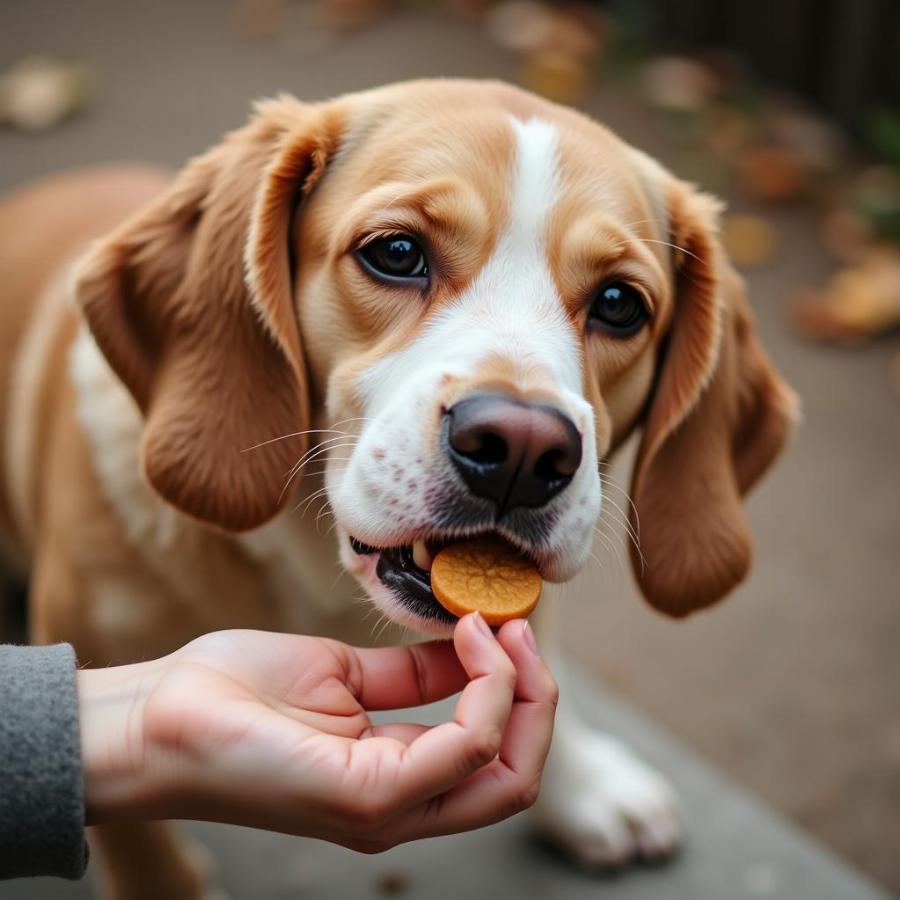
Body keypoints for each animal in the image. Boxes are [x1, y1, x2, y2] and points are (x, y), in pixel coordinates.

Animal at [1, 81, 800, 896]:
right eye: (396, 253)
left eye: (618, 304)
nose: (521, 450)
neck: (317, 575)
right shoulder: (83, 637)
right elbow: (146, 851)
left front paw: (582, 785)